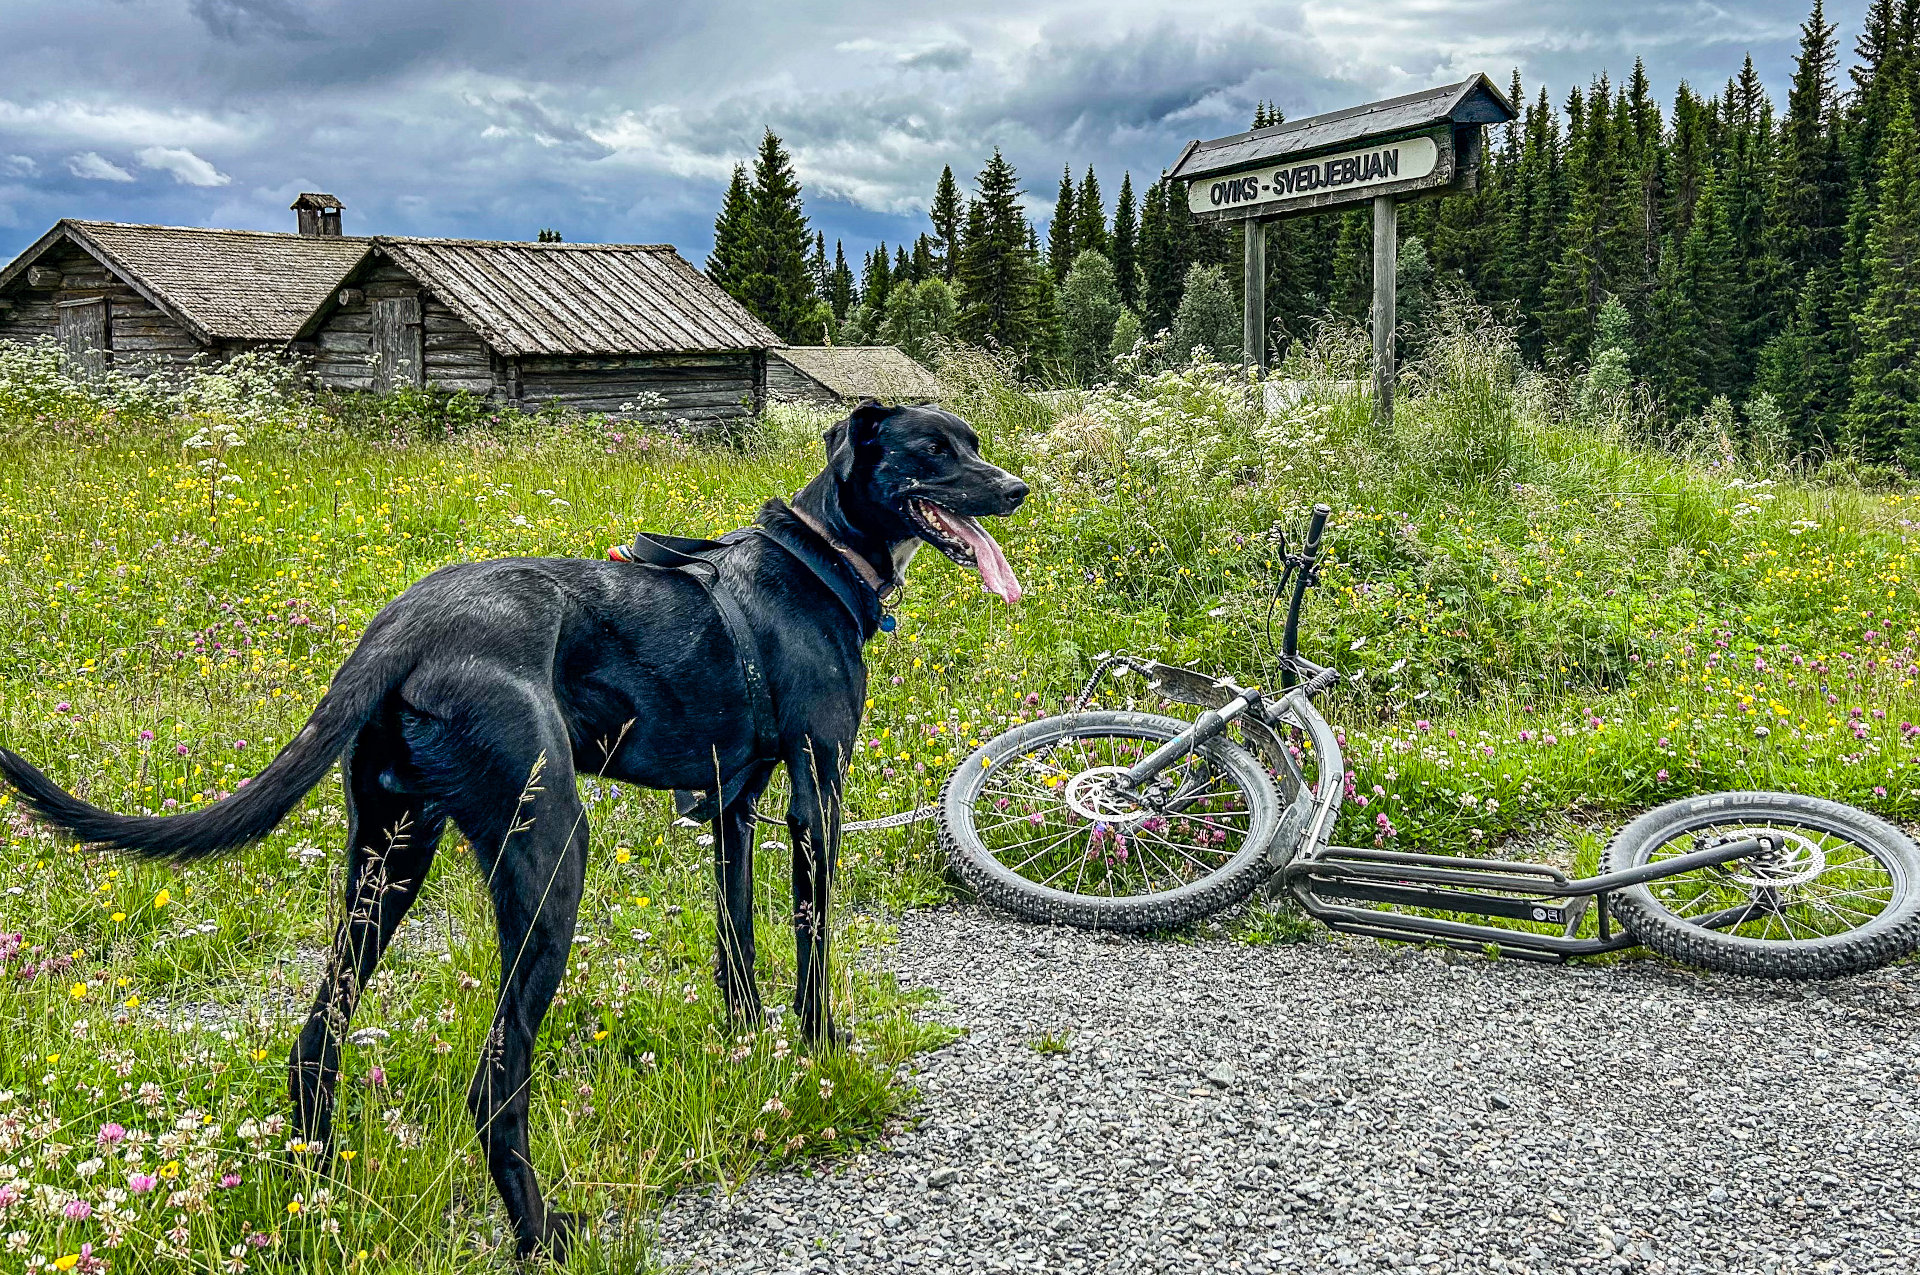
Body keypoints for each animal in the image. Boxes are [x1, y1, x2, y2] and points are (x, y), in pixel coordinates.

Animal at [0, 401, 1027, 1261]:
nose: (1017, 487)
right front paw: (820, 1052)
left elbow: (737, 945)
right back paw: (539, 1234)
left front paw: (749, 1055)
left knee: (316, 1040)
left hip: (388, 858)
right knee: (495, 1080)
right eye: (935, 452)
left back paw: (318, 1195)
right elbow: (812, 945)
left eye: (974, 441)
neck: (821, 560)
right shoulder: (817, 792)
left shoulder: (733, 806)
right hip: (548, 858)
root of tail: (399, 628)